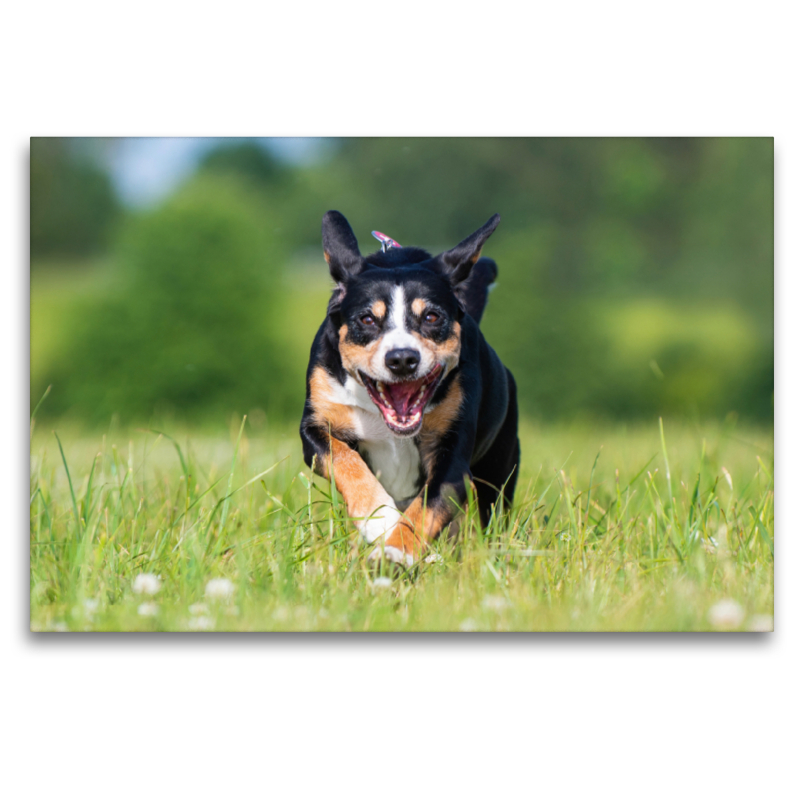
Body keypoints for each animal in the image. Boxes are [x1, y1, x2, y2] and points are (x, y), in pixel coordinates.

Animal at [300, 209, 520, 564]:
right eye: (367, 319)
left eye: (431, 317)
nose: (402, 358)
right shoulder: (317, 422)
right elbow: (343, 459)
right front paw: (379, 518)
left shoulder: (453, 454)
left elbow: (428, 505)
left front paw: (396, 550)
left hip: (499, 467)